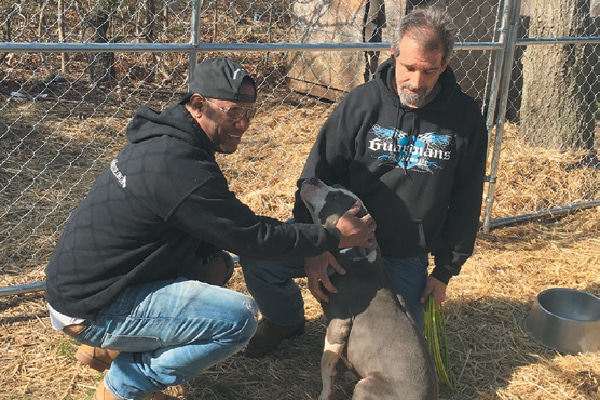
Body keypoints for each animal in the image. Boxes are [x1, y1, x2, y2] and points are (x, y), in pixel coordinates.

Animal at [298, 178, 436, 400]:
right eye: (336, 186)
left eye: (334, 197)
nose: (312, 179)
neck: (356, 258)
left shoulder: (339, 323)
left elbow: (327, 366)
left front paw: (325, 394)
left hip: (365, 386)